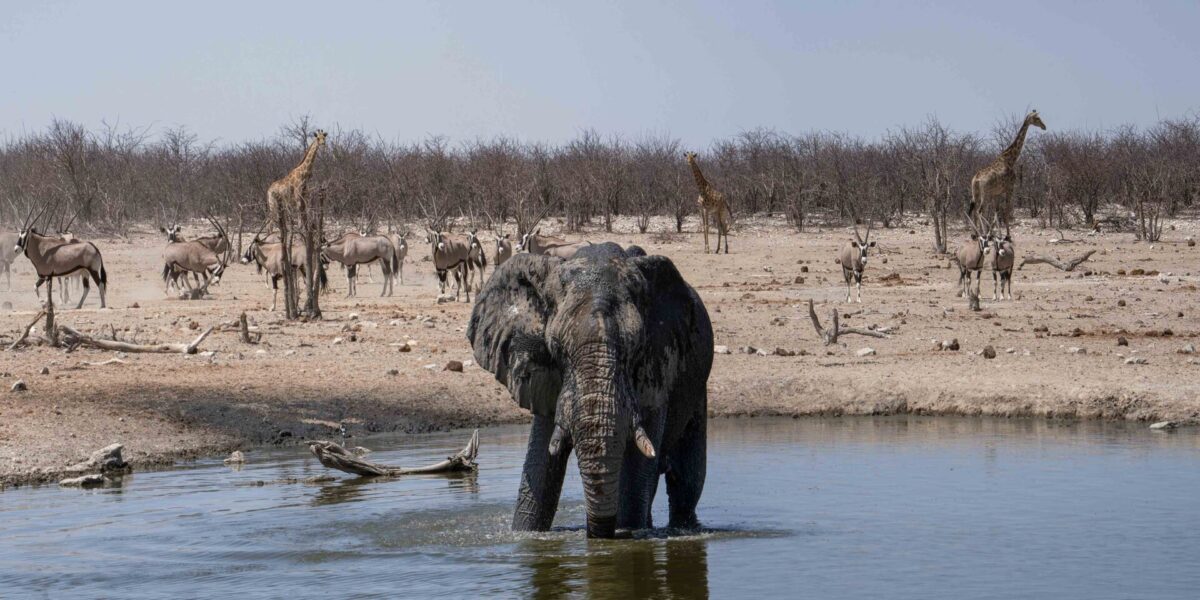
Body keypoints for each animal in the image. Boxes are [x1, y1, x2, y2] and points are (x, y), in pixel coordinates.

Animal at [266, 130, 326, 319]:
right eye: (317, 138)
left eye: (325, 137)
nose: (323, 144)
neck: (304, 174)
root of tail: (268, 190)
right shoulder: (298, 199)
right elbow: (300, 222)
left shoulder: (303, 199)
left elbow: (305, 221)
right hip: (274, 206)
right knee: (271, 225)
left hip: (278, 207)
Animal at [468, 243, 710, 540]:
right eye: (556, 348)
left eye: (635, 348)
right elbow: (540, 469)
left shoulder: (656, 366)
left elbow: (634, 482)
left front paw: (626, 534)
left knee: (686, 479)